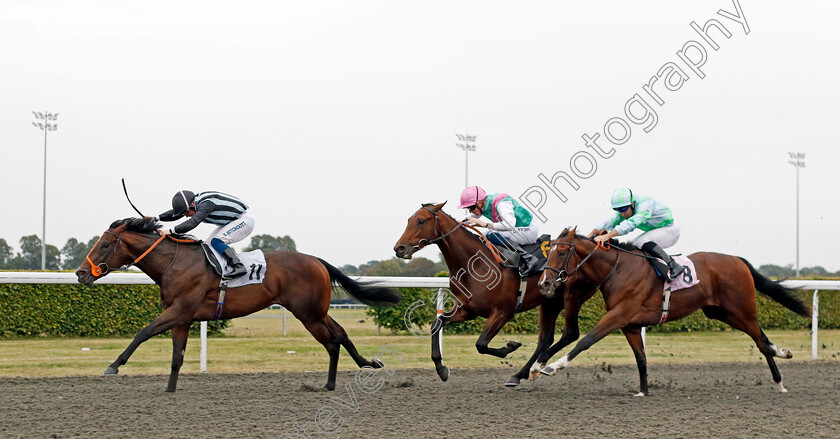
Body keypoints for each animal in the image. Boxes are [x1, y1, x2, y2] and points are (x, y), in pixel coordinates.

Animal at [74, 218, 398, 394]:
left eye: (105, 245)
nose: (80, 273)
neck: (175, 262)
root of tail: (317, 260)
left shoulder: (179, 311)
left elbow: (142, 332)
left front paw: (113, 366)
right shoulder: (183, 318)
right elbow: (177, 357)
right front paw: (169, 389)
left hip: (308, 314)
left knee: (332, 341)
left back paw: (334, 382)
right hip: (315, 312)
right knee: (340, 334)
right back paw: (364, 365)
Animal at [394, 202, 596, 384]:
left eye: (421, 221)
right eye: (409, 220)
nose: (399, 248)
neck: (475, 265)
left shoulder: (502, 312)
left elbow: (481, 344)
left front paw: (511, 346)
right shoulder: (467, 310)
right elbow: (437, 323)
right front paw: (441, 369)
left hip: (571, 298)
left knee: (570, 334)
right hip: (549, 302)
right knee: (545, 339)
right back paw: (520, 374)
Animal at [536, 229, 812, 398]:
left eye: (562, 252)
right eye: (549, 252)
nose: (544, 284)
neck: (618, 269)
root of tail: (737, 259)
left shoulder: (618, 316)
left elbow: (586, 341)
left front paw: (551, 366)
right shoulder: (630, 325)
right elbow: (641, 359)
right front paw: (643, 391)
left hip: (742, 310)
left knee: (761, 343)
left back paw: (779, 380)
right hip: (721, 313)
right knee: (763, 340)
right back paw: (782, 355)